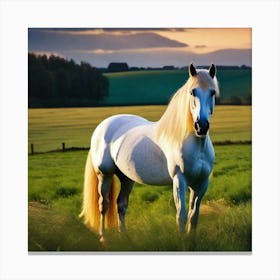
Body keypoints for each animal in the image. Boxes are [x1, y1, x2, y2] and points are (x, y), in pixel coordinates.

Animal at [80, 63, 220, 241]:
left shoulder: (201, 184)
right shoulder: (179, 181)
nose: (201, 126)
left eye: (212, 92)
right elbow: (181, 216)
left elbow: (193, 216)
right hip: (104, 175)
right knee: (104, 205)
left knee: (121, 204)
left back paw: (124, 237)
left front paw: (191, 243)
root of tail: (102, 126)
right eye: (192, 92)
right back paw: (103, 238)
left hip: (127, 178)